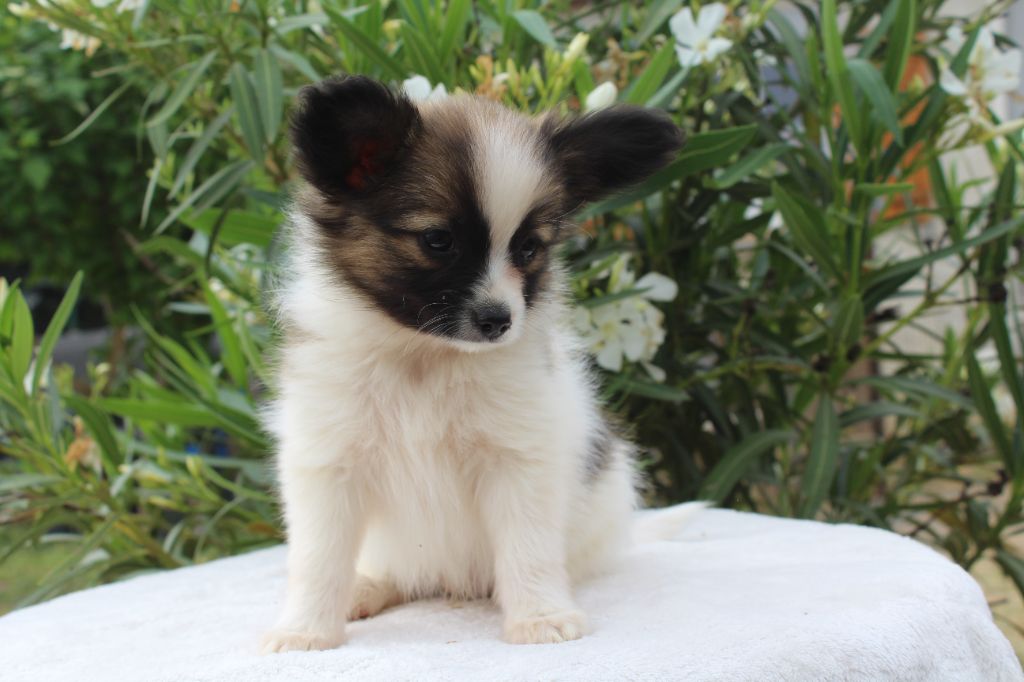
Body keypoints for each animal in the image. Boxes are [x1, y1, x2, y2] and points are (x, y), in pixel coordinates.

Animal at [261, 75, 683, 653]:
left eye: (527, 248)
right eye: (438, 241)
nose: (499, 320)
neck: (425, 356)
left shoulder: (517, 457)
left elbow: (528, 546)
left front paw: (541, 616)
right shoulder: (328, 461)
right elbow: (318, 558)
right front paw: (304, 631)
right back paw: (367, 588)